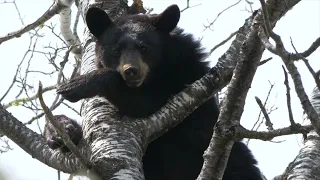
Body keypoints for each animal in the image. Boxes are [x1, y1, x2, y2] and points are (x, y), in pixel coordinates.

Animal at [50, 4, 264, 180]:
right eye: (116, 50)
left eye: (144, 47)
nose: (131, 70)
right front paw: (61, 130)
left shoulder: (184, 78)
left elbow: (146, 105)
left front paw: (76, 85)